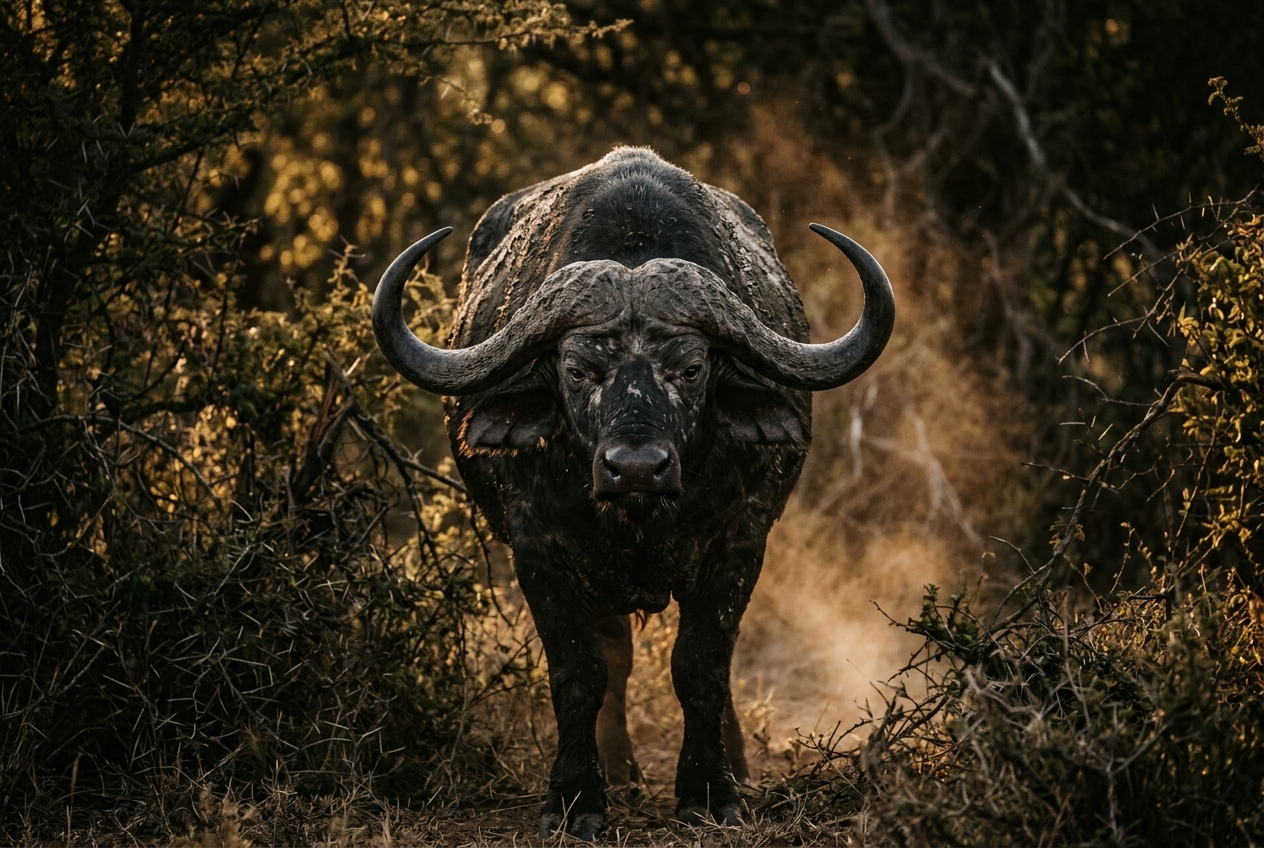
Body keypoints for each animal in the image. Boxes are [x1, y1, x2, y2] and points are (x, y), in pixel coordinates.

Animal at [372, 147, 894, 839]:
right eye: (577, 370)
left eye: (692, 368)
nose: (637, 467)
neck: (641, 515)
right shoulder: (538, 548)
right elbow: (580, 670)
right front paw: (576, 796)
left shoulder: (740, 540)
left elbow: (702, 665)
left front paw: (710, 790)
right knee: (614, 658)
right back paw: (619, 768)